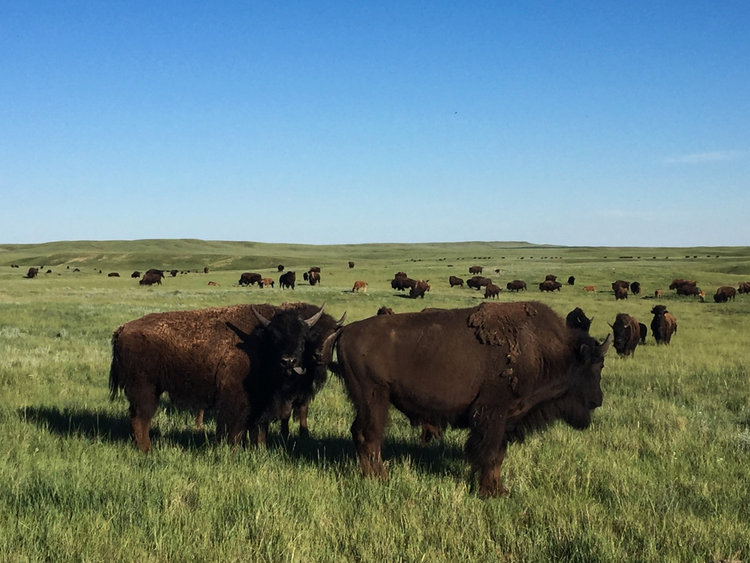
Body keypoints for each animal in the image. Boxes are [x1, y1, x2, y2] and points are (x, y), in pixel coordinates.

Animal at [109, 302, 342, 452]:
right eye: (275, 337)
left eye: (303, 339)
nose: (289, 361)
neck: (258, 341)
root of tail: (122, 329)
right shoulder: (236, 399)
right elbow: (235, 428)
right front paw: (232, 451)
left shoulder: (261, 404)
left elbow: (258, 429)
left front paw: (258, 451)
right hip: (145, 389)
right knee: (141, 418)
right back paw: (147, 450)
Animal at [331, 301, 610, 497]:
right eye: (596, 365)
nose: (598, 400)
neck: (544, 351)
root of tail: (345, 331)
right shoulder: (492, 415)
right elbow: (489, 454)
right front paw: (489, 492)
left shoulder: (505, 421)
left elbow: (498, 454)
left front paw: (500, 490)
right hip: (374, 398)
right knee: (370, 435)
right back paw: (381, 478)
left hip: (368, 401)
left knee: (360, 433)